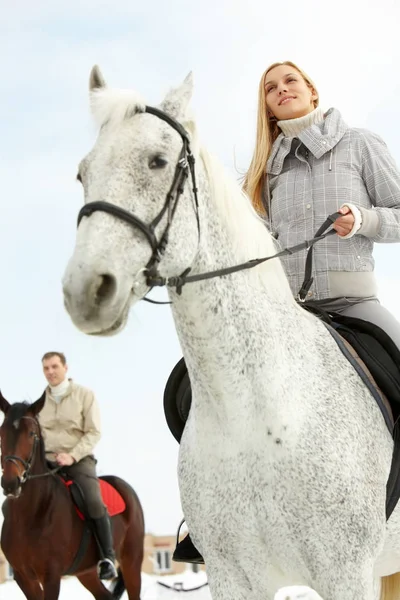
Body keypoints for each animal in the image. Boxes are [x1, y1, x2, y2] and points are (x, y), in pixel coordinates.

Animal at [0, 392, 144, 596]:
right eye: (1, 432)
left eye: (31, 433)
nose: (11, 484)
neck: (32, 512)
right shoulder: (23, 578)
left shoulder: (51, 576)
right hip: (87, 573)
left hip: (132, 561)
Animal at [61, 67, 400, 600]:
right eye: (83, 173)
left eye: (158, 161)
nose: (86, 290)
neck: (258, 411)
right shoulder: (233, 576)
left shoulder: (346, 574)